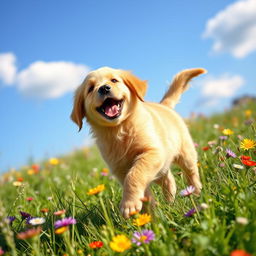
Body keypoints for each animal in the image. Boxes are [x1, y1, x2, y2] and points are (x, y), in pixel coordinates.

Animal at [71, 66, 207, 218]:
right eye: (90, 89)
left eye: (114, 80)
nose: (104, 88)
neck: (119, 129)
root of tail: (164, 106)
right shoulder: (119, 168)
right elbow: (141, 188)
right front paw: (148, 213)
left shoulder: (152, 152)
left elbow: (134, 175)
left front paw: (129, 204)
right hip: (161, 167)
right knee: (168, 179)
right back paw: (170, 202)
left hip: (185, 153)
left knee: (191, 173)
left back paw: (196, 193)